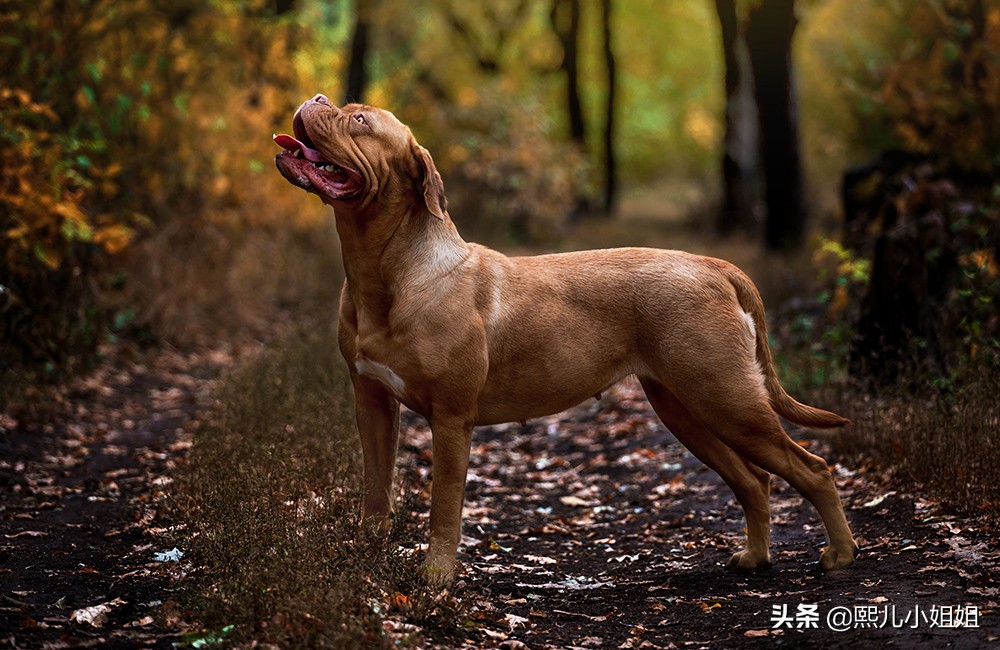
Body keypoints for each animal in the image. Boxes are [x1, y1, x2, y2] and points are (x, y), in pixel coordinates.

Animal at [276, 95, 860, 584]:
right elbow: (376, 491)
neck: (387, 273)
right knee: (754, 481)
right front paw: (367, 558)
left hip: (728, 399)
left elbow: (444, 506)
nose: (319, 97)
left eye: (359, 120)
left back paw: (840, 555)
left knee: (812, 469)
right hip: (687, 408)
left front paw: (436, 577)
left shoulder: (451, 417)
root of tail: (713, 266)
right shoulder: (373, 403)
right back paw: (756, 557)